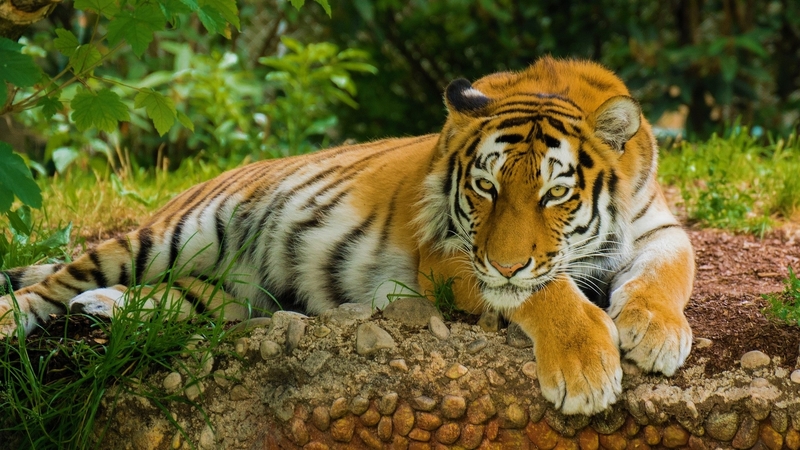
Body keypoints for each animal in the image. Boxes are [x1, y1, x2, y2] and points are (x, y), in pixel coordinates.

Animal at [0, 56, 694, 416]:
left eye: (555, 194)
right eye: (486, 188)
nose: (504, 263)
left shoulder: (659, 225)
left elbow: (666, 273)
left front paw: (656, 332)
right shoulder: (449, 254)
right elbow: (544, 291)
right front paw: (585, 368)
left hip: (229, 291)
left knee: (183, 300)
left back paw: (104, 308)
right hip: (166, 235)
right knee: (47, 287)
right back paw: (21, 319)